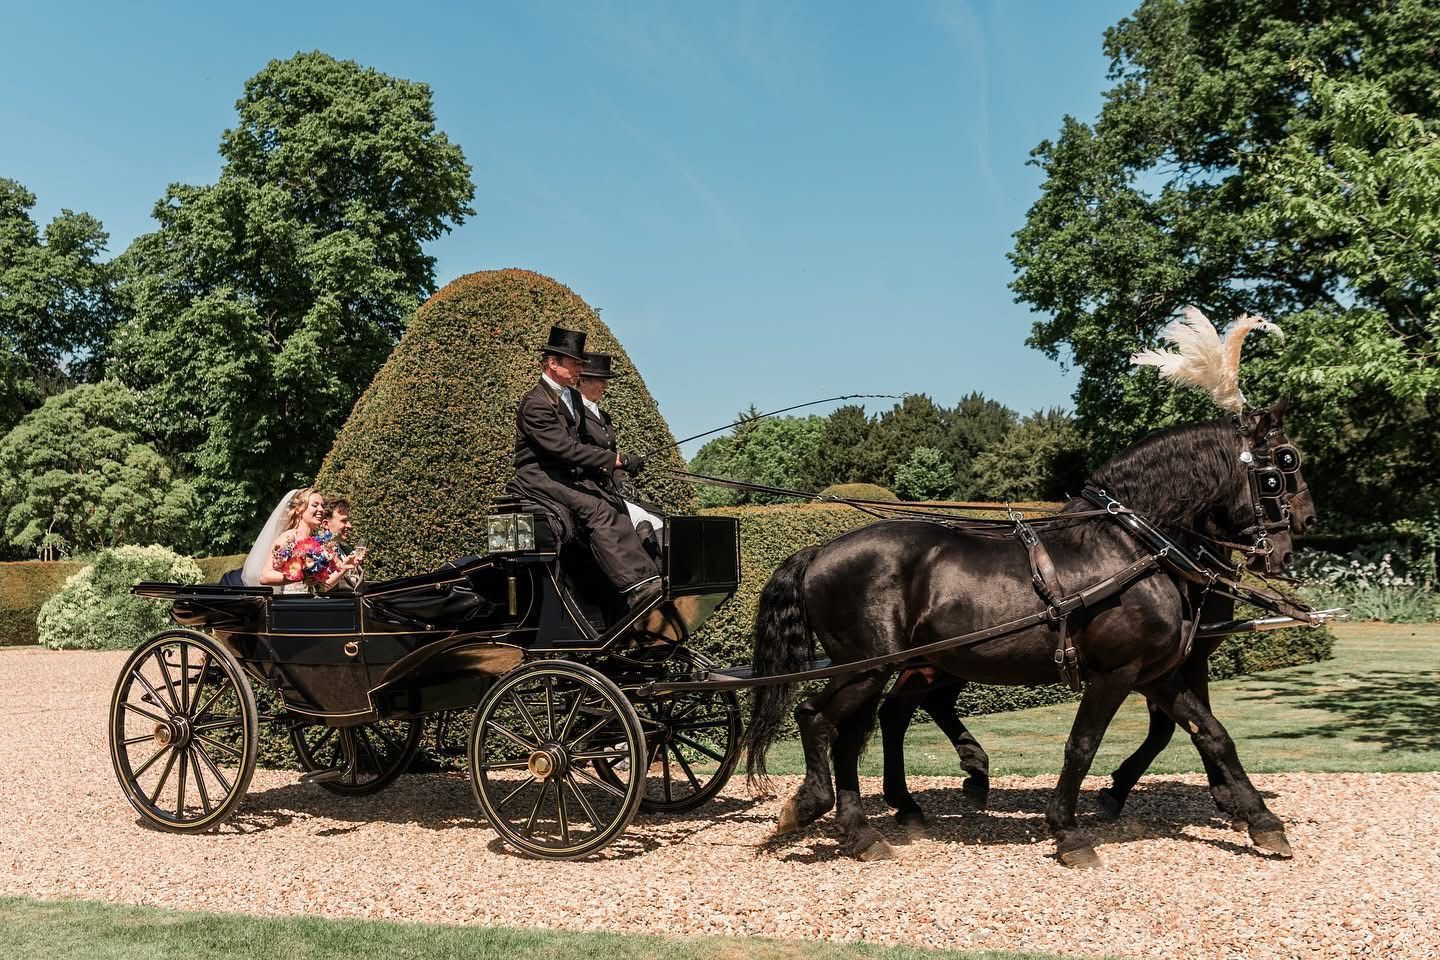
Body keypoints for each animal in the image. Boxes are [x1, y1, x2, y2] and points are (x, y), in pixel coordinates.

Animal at [743, 401, 1310, 867]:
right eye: (1281, 467)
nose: (1298, 534)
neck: (1130, 548)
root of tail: (820, 550)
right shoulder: (1116, 673)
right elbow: (1082, 745)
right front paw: (1069, 831)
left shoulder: (1157, 673)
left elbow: (1212, 734)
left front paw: (1262, 821)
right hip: (868, 667)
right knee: (818, 719)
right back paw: (821, 810)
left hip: (890, 668)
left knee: (858, 729)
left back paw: (869, 826)